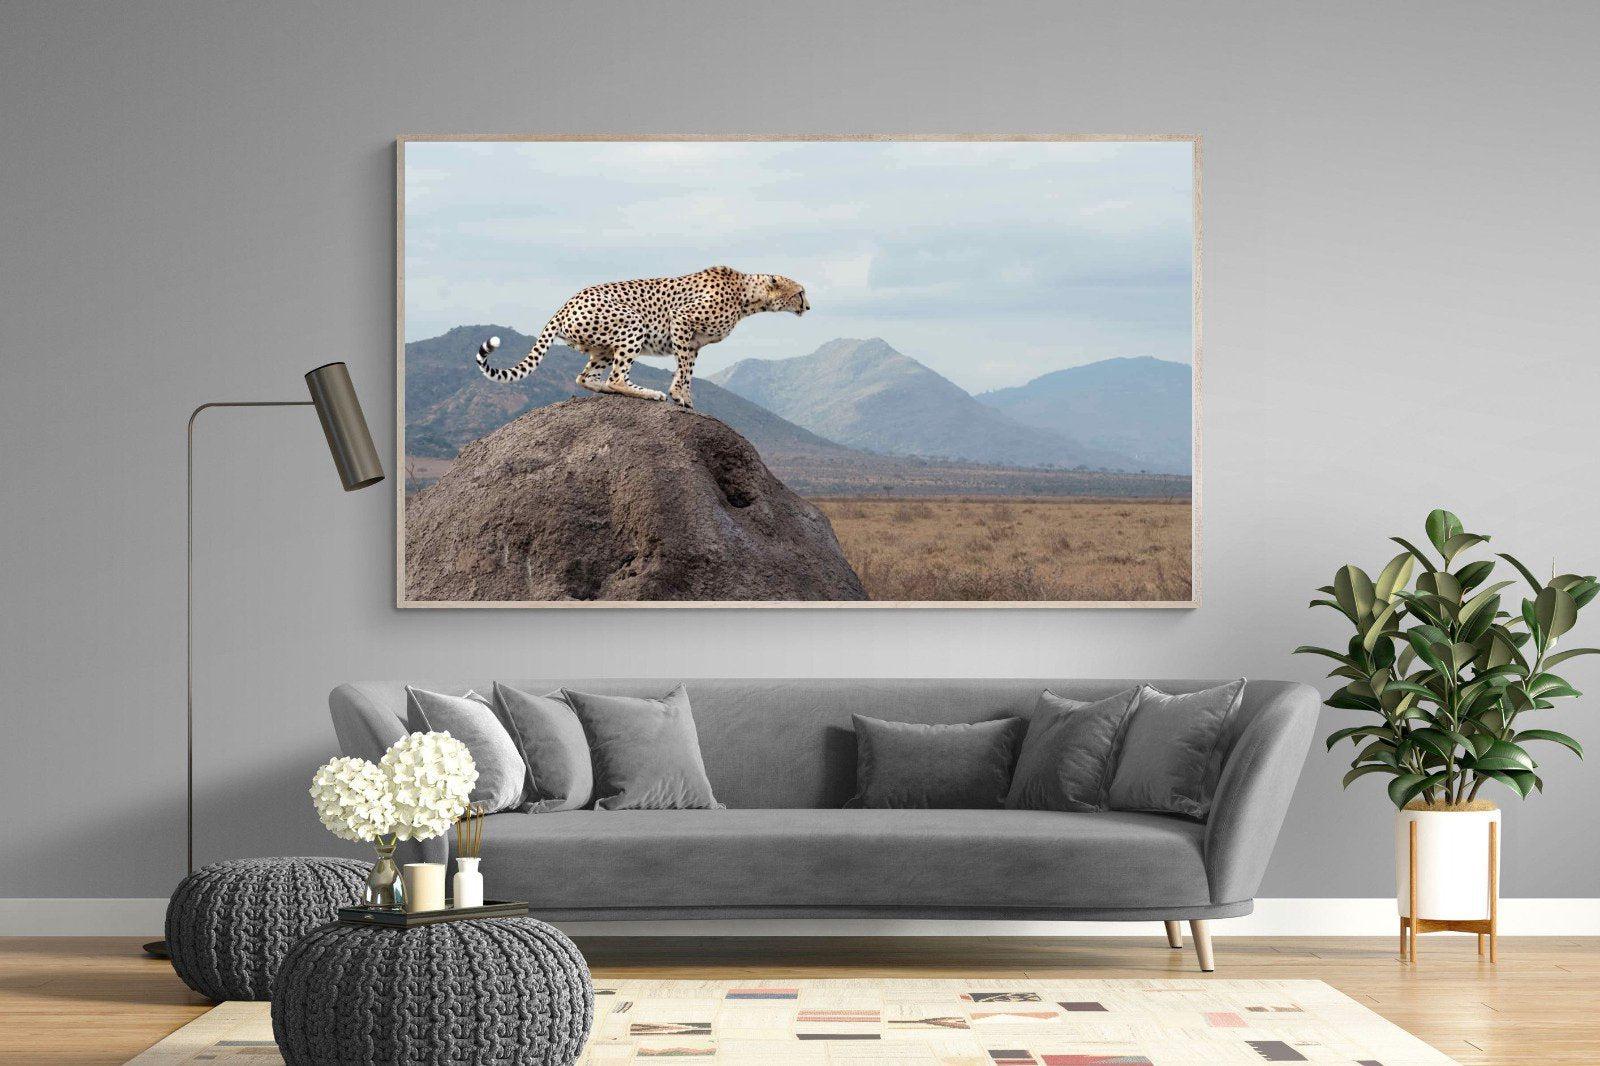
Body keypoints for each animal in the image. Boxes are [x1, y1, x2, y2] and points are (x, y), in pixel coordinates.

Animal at [475, 265, 809, 409]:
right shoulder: (681, 321)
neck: (747, 296)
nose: (808, 306)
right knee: (617, 378)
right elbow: (683, 370)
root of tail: (566, 303)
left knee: (586, 377)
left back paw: (607, 390)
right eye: (800, 292)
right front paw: (677, 395)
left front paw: (686, 398)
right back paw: (648, 393)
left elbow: (688, 370)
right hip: (633, 323)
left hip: (602, 347)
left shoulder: (694, 342)